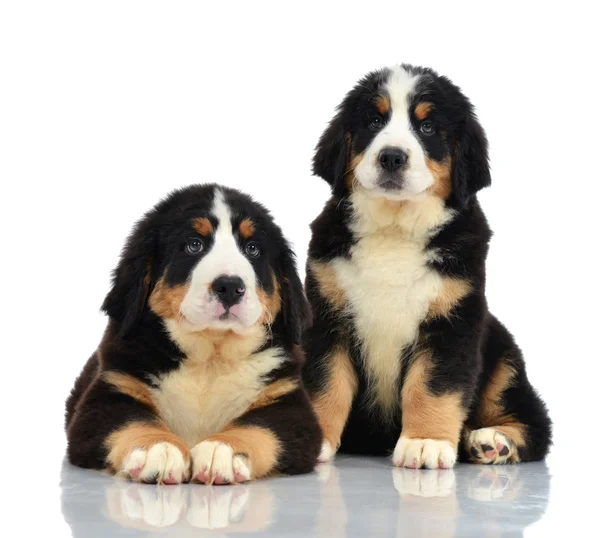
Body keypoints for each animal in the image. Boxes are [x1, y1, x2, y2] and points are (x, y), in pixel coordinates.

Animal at [65, 183, 324, 482]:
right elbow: (133, 420)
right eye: (194, 245)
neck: (209, 357)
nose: (230, 287)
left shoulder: (288, 404)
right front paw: (158, 447)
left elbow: (259, 426)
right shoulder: (111, 392)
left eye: (253, 249)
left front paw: (222, 449)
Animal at [302, 61, 552, 464]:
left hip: (503, 357)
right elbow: (325, 383)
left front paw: (426, 441)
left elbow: (432, 386)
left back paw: (493, 440)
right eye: (374, 121)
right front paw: (315, 438)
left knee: (535, 422)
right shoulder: (326, 317)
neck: (395, 229)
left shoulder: (452, 321)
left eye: (428, 127)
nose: (391, 156)